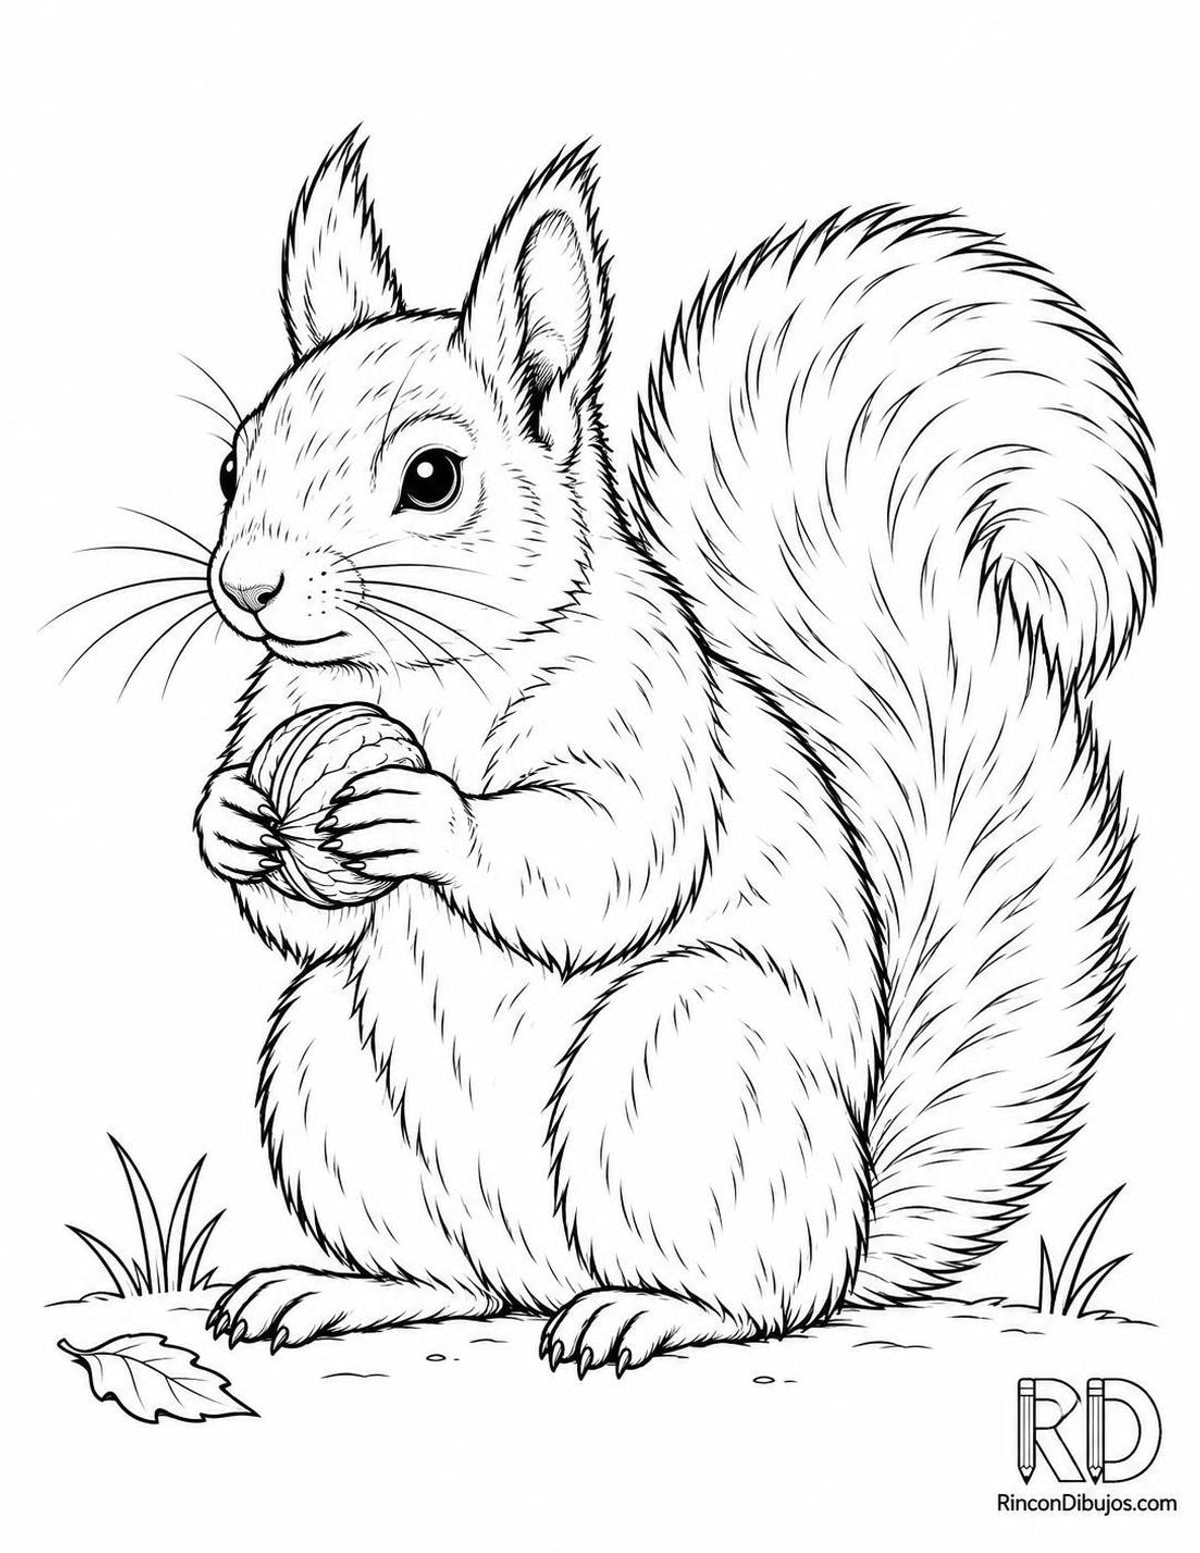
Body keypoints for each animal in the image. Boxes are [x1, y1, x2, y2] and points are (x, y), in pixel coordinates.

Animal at [199, 134, 1158, 1372]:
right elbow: (302, 919)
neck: (422, 675)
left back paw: (644, 1309)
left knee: (765, 1297)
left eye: (432, 477)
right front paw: (228, 817)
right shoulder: (284, 703)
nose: (246, 585)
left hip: (681, 1055)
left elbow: (604, 859)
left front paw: (420, 810)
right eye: (233, 464)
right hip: (326, 1071)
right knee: (456, 1279)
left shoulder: (648, 713)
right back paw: (338, 1288)